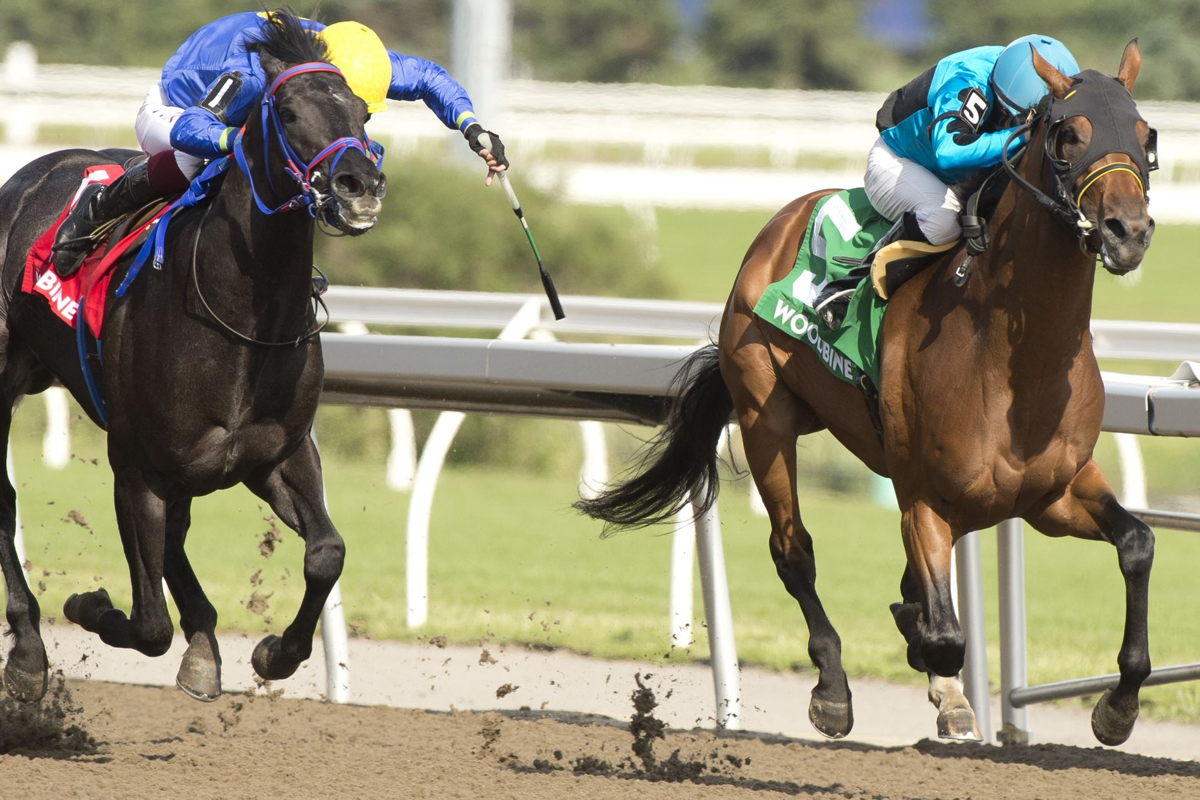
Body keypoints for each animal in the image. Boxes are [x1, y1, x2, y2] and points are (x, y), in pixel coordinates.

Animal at [0, 10, 386, 700]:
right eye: (289, 112)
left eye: (362, 113)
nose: (359, 185)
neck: (243, 319)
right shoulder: (135, 466)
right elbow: (148, 621)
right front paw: (89, 606)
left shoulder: (279, 453)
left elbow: (326, 553)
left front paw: (274, 653)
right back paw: (29, 654)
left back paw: (203, 643)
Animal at [576, 42, 1156, 743]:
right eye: (1068, 136)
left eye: (1147, 136)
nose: (1129, 231)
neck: (1015, 361)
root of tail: (777, 227)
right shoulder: (924, 497)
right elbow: (942, 635)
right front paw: (933, 669)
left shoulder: (1053, 493)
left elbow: (1137, 544)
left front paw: (1117, 706)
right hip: (766, 416)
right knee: (793, 551)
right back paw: (832, 688)